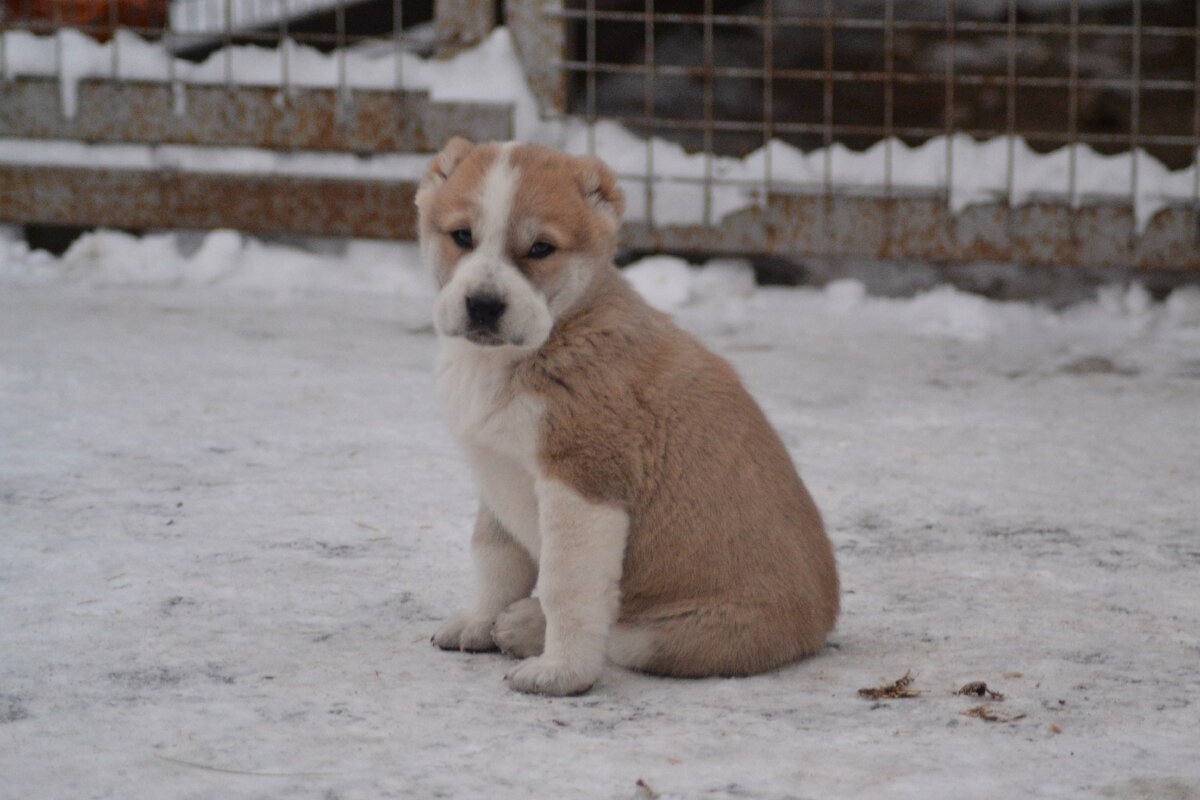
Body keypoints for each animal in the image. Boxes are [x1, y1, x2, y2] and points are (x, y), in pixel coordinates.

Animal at [417, 137, 840, 695]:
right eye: (461, 236)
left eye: (540, 249)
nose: (484, 305)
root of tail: (822, 622)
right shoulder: (498, 472)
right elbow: (495, 557)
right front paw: (478, 622)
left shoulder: (584, 486)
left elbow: (568, 588)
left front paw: (561, 671)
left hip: (684, 634)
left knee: (620, 632)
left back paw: (530, 627)